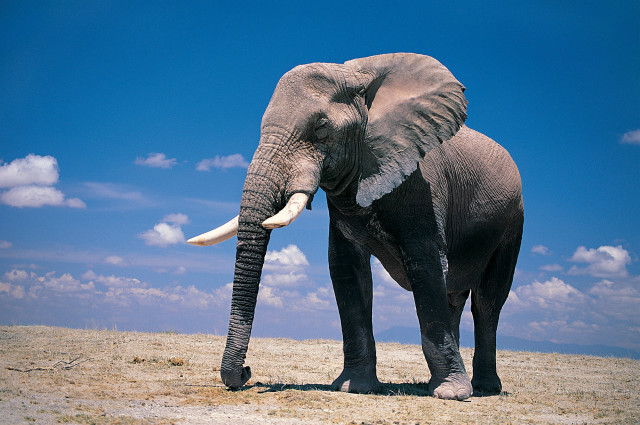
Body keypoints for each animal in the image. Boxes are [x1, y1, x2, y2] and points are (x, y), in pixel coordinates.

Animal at [188, 53, 524, 400]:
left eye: (321, 128)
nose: (246, 371)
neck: (357, 74)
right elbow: (347, 270)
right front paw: (356, 388)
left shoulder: (425, 186)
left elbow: (426, 266)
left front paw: (452, 395)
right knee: (454, 297)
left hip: (512, 221)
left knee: (488, 301)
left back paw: (482, 388)